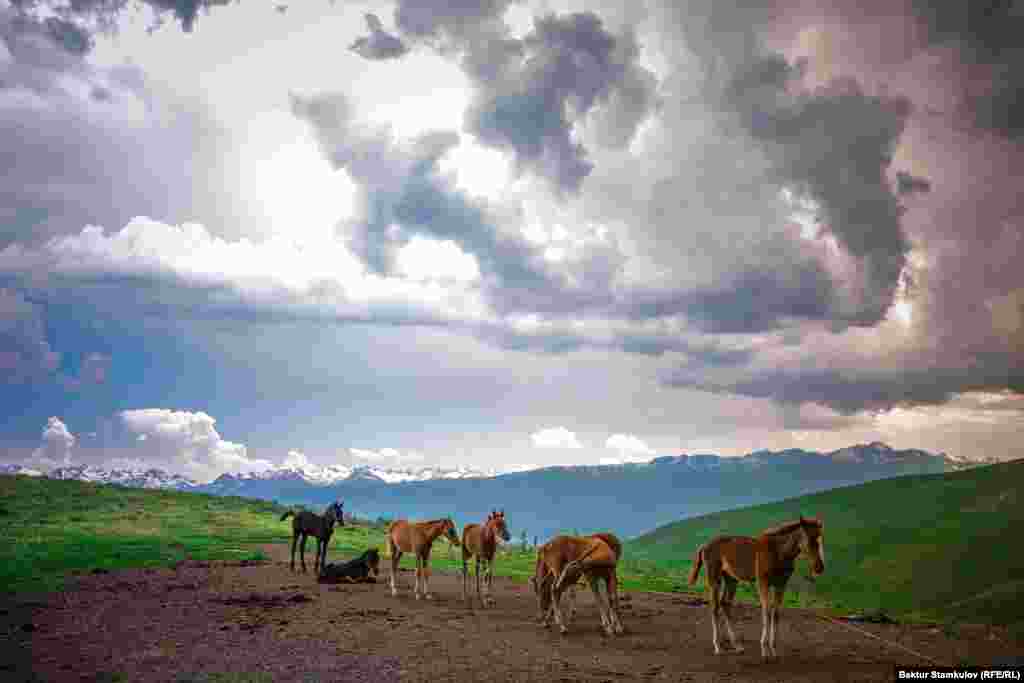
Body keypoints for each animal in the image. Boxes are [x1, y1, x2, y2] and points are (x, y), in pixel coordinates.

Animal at [688, 516, 823, 659]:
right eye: (809, 539)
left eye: (820, 538)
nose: (819, 567)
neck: (779, 551)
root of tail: (704, 546)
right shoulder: (763, 582)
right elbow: (766, 611)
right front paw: (764, 649)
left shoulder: (781, 584)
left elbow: (776, 613)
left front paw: (774, 649)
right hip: (714, 579)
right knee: (714, 607)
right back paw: (718, 646)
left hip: (731, 579)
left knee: (725, 603)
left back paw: (737, 646)